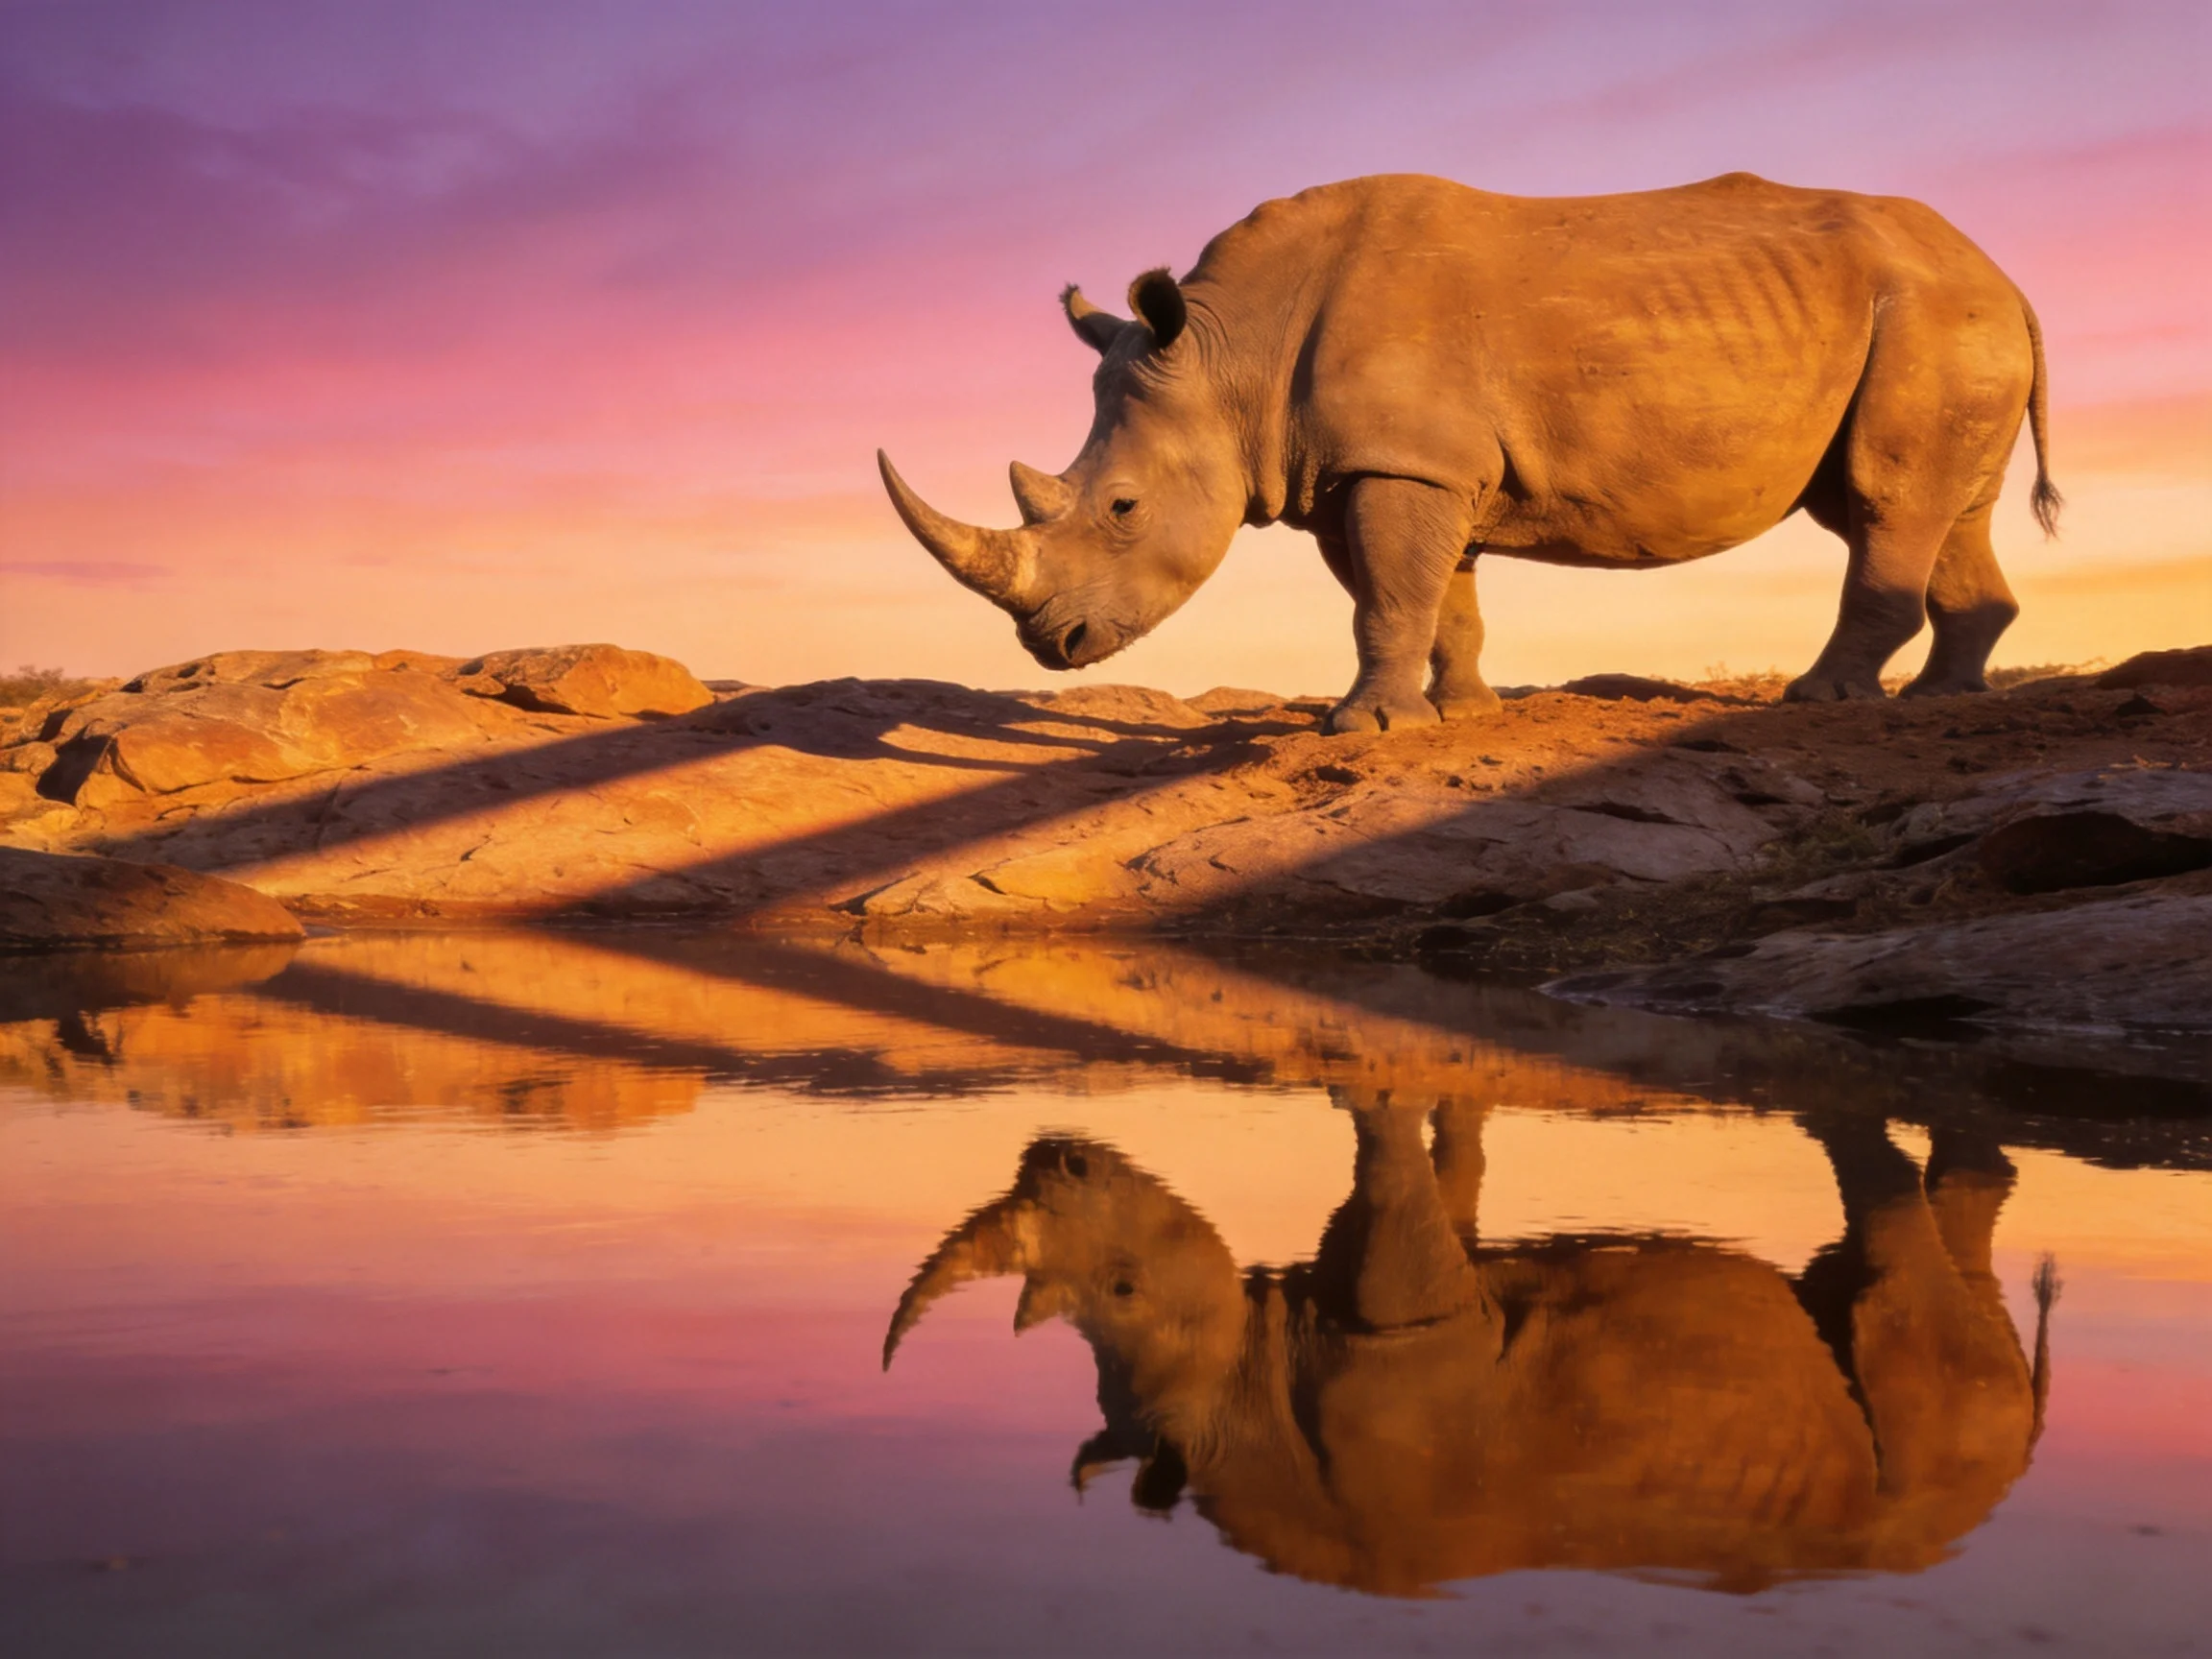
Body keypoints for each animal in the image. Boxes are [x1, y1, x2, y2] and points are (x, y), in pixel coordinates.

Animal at [878, 172, 2058, 733]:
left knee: (1883, 499)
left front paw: (1357, 730)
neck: (1228, 353)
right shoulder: (1387, 465)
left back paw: (1820, 703)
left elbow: (1387, 597)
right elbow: (1439, 598)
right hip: (1942, 323)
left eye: (1121, 509)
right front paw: (1458, 715)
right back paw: (1944, 703)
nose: (1052, 647)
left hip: (1933, 319)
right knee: (1939, 506)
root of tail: (2005, 274)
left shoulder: (1399, 460)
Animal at [884, 1099, 2054, 1595]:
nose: (1061, 1153)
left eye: (1124, 1286)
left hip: (1930, 1466)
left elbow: (1395, 1165)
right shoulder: (1391, 1297)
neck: (1237, 1402)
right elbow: (1440, 1180)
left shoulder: (1407, 1320)